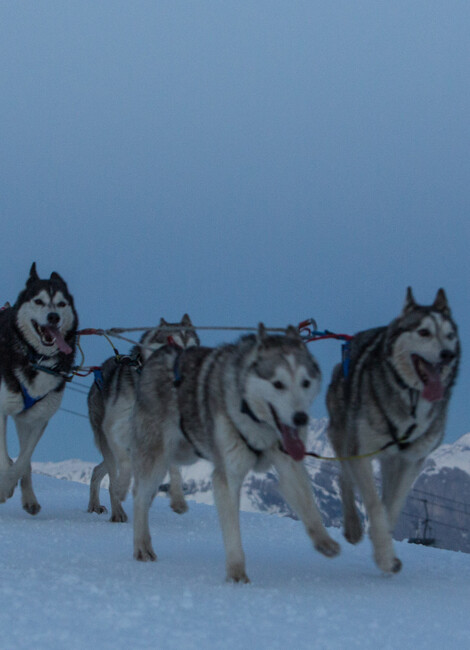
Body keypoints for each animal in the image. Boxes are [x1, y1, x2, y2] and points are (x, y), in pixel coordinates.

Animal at [0, 264, 77, 512]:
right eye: (39, 301)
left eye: (61, 304)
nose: (53, 316)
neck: (36, 359)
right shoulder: (2, 409)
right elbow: (5, 454)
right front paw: (4, 486)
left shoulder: (37, 418)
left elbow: (25, 459)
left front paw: (11, 485)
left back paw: (29, 498)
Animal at [87, 314, 199, 520]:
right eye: (171, 342)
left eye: (192, 347)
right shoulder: (114, 428)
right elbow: (122, 470)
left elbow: (175, 470)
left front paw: (178, 499)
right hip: (109, 443)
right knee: (112, 476)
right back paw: (117, 511)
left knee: (98, 470)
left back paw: (96, 504)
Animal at [130, 324, 340, 584]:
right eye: (278, 384)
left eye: (305, 382)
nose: (300, 418)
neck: (254, 417)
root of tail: (161, 354)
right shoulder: (227, 476)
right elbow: (232, 532)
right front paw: (237, 573)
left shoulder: (289, 464)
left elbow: (309, 505)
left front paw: (324, 541)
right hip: (156, 457)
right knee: (140, 496)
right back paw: (141, 545)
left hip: (183, 453)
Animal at [326, 288, 458, 572]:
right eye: (424, 332)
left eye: (450, 335)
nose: (447, 355)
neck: (411, 402)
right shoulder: (361, 452)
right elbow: (375, 506)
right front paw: (385, 558)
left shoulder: (411, 460)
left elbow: (392, 508)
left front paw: (384, 547)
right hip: (345, 439)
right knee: (344, 478)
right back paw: (353, 527)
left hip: (390, 461)